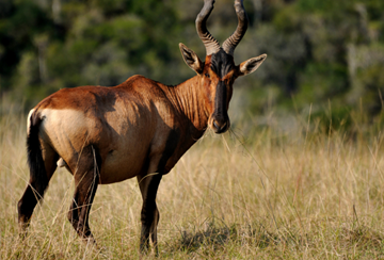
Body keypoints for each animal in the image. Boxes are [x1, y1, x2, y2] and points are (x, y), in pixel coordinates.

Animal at [18, 0, 268, 254]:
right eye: (207, 72)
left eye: (233, 76)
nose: (219, 123)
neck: (170, 99)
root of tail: (42, 109)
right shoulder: (155, 163)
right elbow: (147, 211)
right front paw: (143, 251)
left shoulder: (142, 171)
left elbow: (155, 212)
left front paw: (153, 251)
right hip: (87, 169)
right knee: (77, 214)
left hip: (45, 162)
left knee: (25, 205)